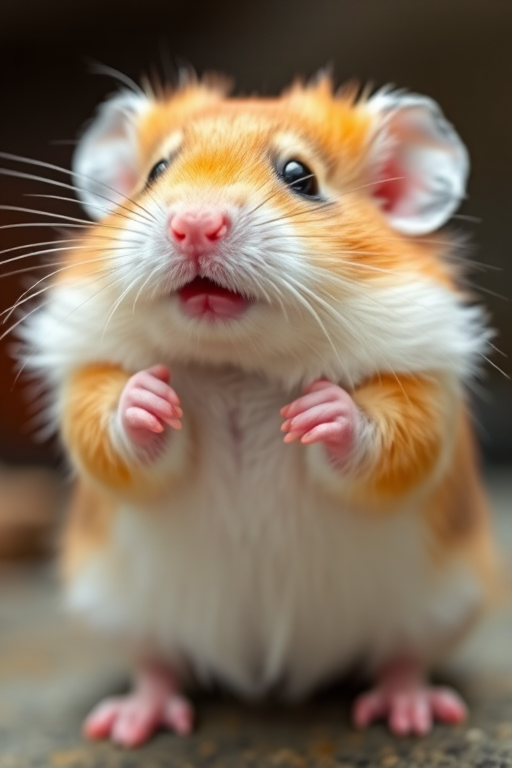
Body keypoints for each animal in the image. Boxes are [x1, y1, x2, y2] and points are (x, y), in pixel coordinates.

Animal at [15, 71, 500, 746]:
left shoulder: (424, 391)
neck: (238, 364)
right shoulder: (88, 377)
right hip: (113, 606)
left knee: (403, 656)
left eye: (301, 176)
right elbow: (109, 431)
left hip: (444, 603)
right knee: (155, 663)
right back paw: (128, 724)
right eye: (156, 171)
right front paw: (151, 395)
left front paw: (316, 410)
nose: (194, 225)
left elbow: (390, 443)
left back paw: (412, 714)